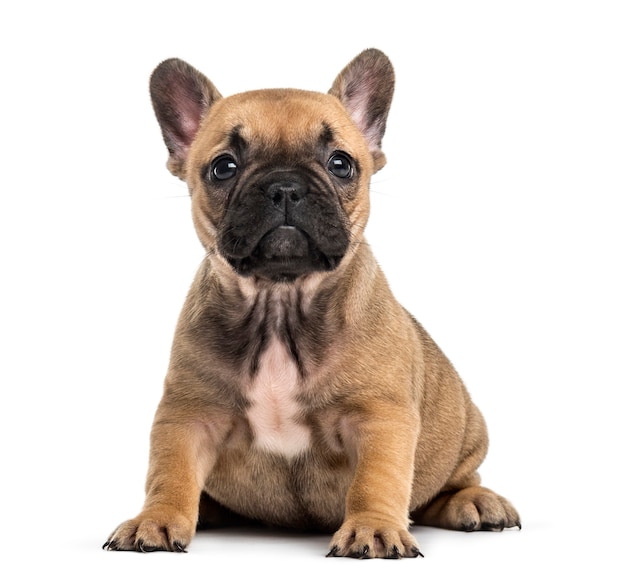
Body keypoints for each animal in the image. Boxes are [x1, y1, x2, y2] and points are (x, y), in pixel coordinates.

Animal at [105, 48, 520, 560]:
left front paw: (372, 528)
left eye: (340, 163)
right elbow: (170, 472)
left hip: (465, 433)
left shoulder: (379, 417)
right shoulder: (188, 414)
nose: (285, 186)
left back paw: (476, 501)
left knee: (449, 484)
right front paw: (157, 519)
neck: (279, 303)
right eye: (223, 167)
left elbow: (376, 480)